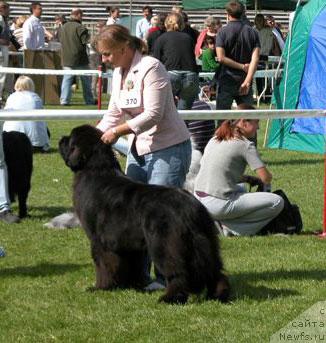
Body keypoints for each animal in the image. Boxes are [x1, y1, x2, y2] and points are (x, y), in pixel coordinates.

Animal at [59, 125, 230, 304]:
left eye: (70, 140)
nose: (61, 138)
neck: (95, 169)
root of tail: (191, 206)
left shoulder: (99, 240)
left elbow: (104, 264)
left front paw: (101, 286)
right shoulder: (126, 242)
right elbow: (129, 264)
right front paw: (129, 284)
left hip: (164, 243)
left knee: (178, 272)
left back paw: (170, 298)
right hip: (206, 241)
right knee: (215, 271)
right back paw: (219, 295)